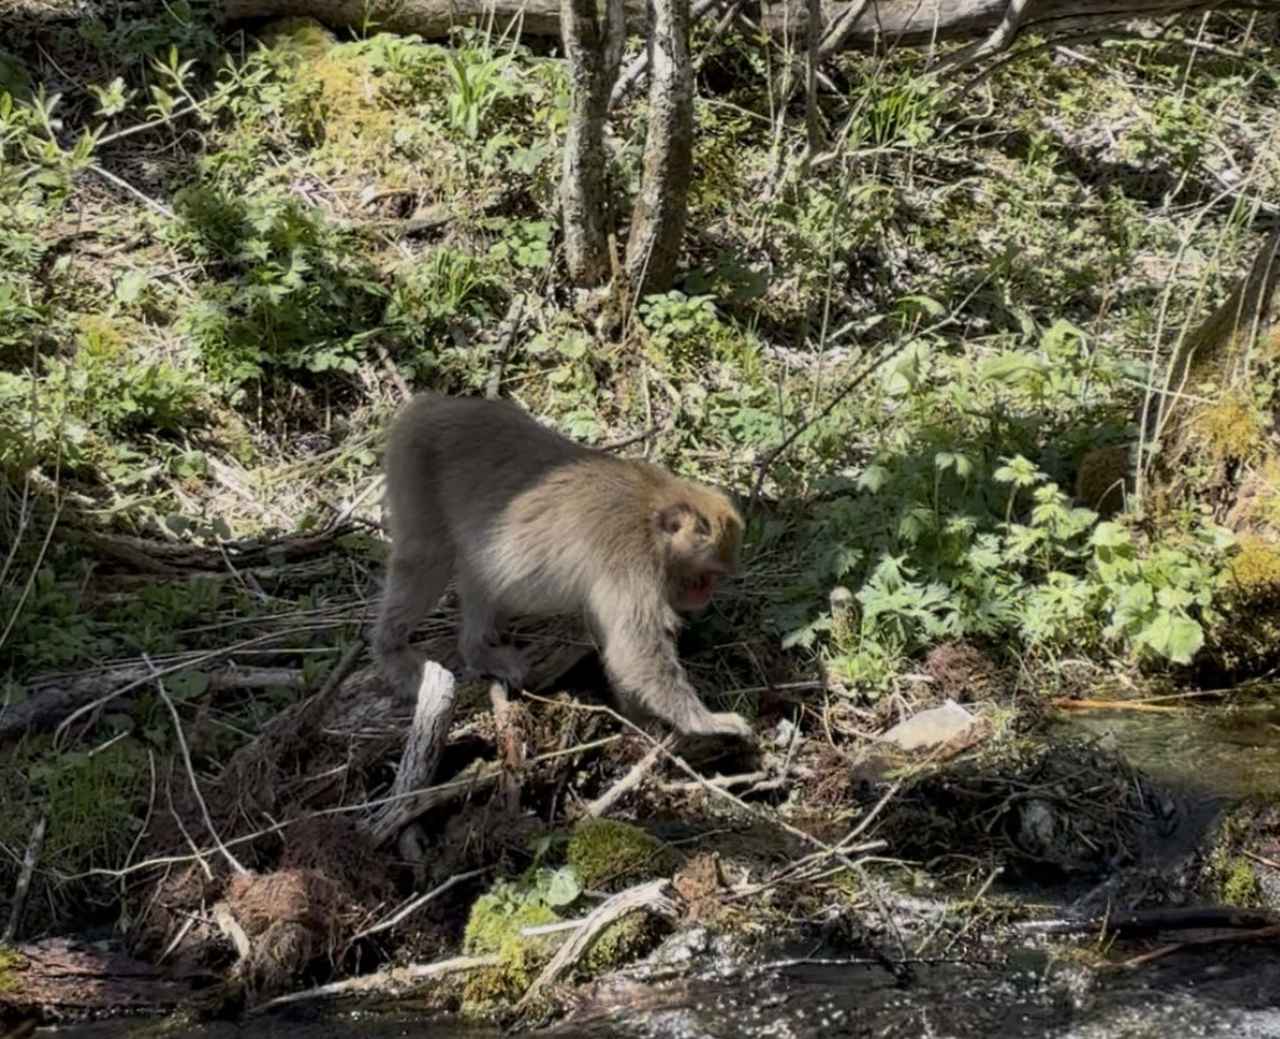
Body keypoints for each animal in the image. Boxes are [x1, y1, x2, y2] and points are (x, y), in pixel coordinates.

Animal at [373, 392, 753, 745]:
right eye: (708, 575)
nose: (706, 595)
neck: (652, 517)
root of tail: (430, 402)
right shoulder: (632, 561)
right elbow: (634, 650)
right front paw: (704, 722)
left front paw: (638, 721)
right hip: (414, 467)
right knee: (425, 559)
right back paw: (391, 650)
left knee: (482, 571)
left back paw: (476, 650)